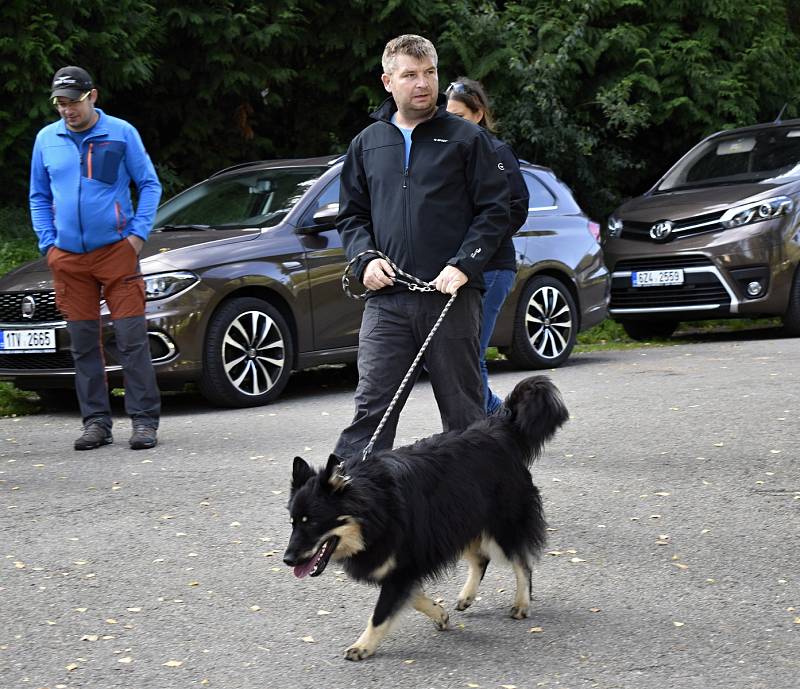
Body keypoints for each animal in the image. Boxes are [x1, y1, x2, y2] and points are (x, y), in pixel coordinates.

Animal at [284, 376, 564, 660]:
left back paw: (521, 603)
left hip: (501, 524)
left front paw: (363, 646)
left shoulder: (405, 561)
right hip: (459, 522)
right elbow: (412, 596)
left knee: (522, 562)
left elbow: (381, 613)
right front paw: (440, 614)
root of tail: (498, 431)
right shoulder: (406, 562)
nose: (287, 560)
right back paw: (467, 596)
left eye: (313, 522)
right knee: (481, 558)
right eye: (293, 522)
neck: (374, 507)